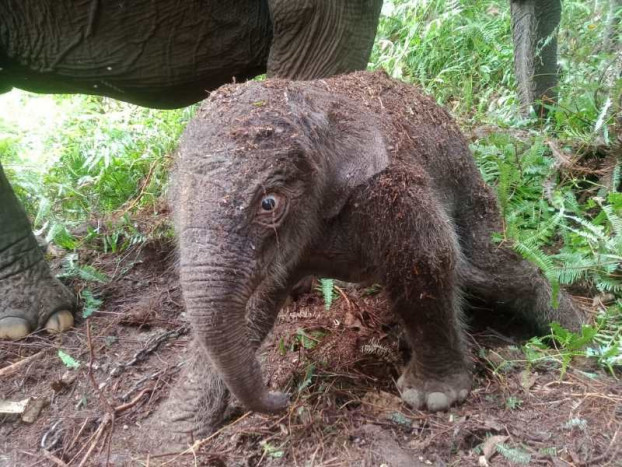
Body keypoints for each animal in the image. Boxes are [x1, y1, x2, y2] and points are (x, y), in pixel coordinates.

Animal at [168, 71, 584, 436]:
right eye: (175, 202)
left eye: (269, 203)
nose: (281, 396)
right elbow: (251, 304)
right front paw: (174, 433)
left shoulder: (393, 190)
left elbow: (427, 256)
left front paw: (434, 397)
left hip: (469, 186)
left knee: (488, 267)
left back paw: (574, 332)